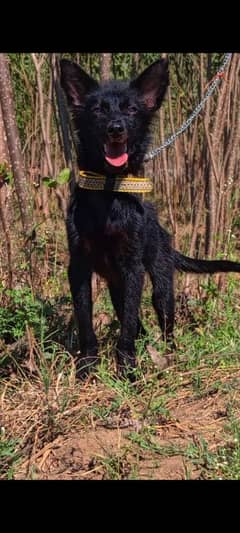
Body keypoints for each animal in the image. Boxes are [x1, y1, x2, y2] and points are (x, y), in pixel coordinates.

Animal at [59, 59, 240, 378]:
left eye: (132, 110)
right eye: (98, 110)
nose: (116, 128)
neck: (109, 191)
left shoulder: (133, 267)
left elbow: (129, 323)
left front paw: (127, 369)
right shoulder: (78, 265)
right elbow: (85, 320)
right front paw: (88, 365)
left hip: (161, 284)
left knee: (163, 324)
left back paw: (169, 357)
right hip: (117, 285)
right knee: (133, 320)